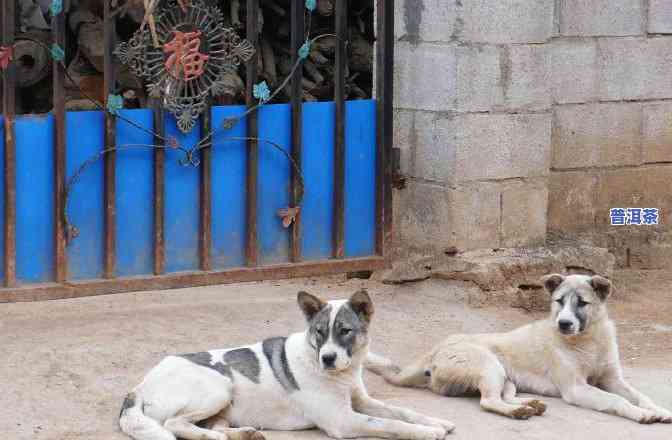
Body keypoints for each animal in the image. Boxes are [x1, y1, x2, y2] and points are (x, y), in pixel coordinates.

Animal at [119, 288, 456, 440]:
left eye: (345, 331)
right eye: (319, 332)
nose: (328, 358)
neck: (341, 374)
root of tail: (138, 387)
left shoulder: (362, 402)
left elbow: (400, 411)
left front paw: (435, 422)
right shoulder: (342, 420)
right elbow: (389, 424)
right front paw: (426, 433)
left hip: (224, 404)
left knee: (212, 424)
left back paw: (244, 434)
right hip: (219, 387)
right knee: (173, 424)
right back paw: (212, 437)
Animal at [368, 274, 672, 424]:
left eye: (582, 303)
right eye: (559, 301)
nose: (563, 324)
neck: (589, 340)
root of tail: (436, 348)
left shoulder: (613, 379)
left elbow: (639, 396)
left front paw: (658, 409)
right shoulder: (578, 388)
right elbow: (618, 401)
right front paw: (642, 415)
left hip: (505, 377)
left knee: (503, 397)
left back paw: (530, 405)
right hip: (489, 366)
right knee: (488, 401)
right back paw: (518, 412)